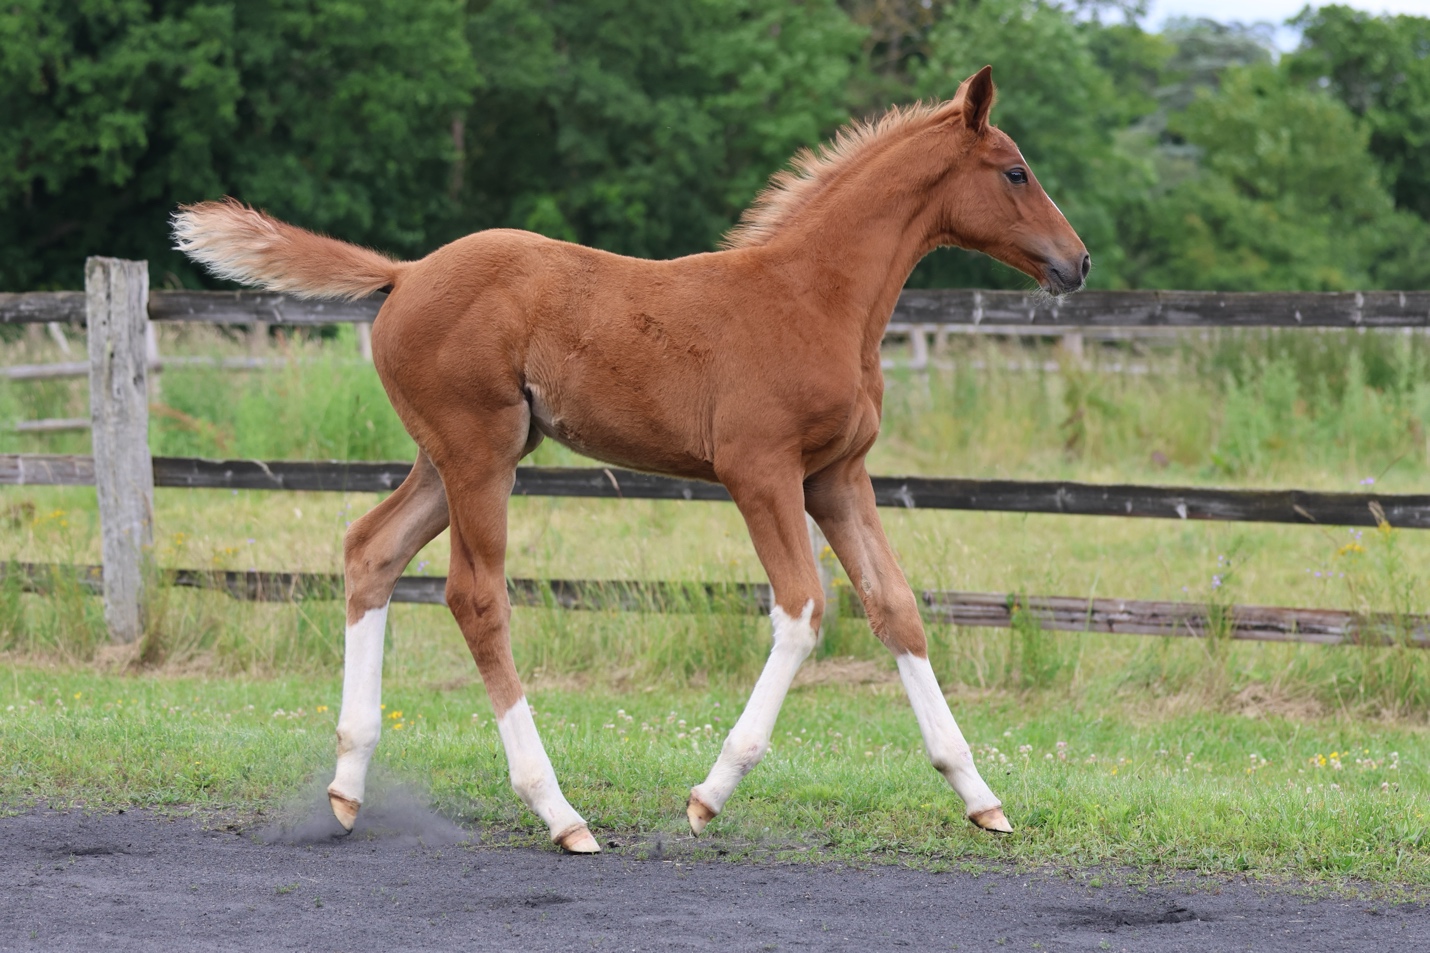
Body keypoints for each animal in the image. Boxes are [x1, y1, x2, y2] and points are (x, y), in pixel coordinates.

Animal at [175, 66, 1081, 847]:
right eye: (1015, 171)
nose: (1077, 261)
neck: (814, 297)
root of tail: (403, 274)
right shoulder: (760, 470)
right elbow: (802, 610)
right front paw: (710, 792)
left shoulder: (836, 474)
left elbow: (896, 607)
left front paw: (980, 796)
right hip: (478, 452)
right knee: (476, 595)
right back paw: (558, 811)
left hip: (455, 454)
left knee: (372, 549)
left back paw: (347, 784)